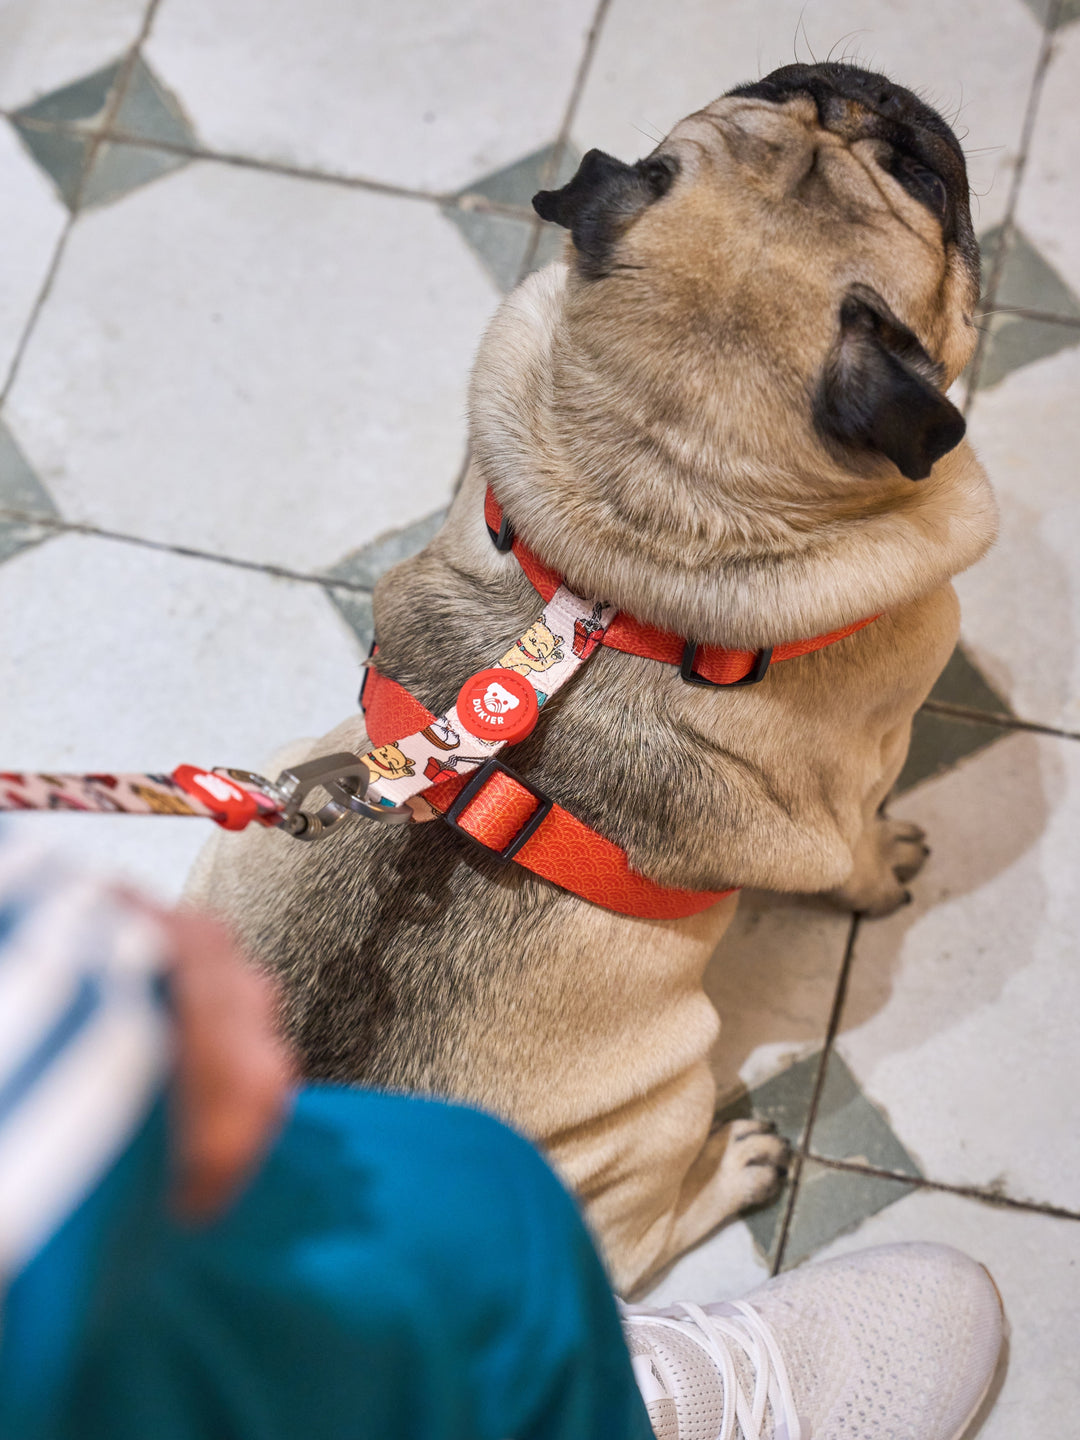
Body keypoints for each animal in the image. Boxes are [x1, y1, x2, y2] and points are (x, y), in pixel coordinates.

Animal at [188, 64, 996, 1296]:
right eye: (917, 177)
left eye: (772, 86)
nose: (856, 87)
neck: (647, 516)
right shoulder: (861, 772)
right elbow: (856, 852)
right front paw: (882, 873)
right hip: (665, 1096)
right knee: (637, 1243)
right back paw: (738, 1166)